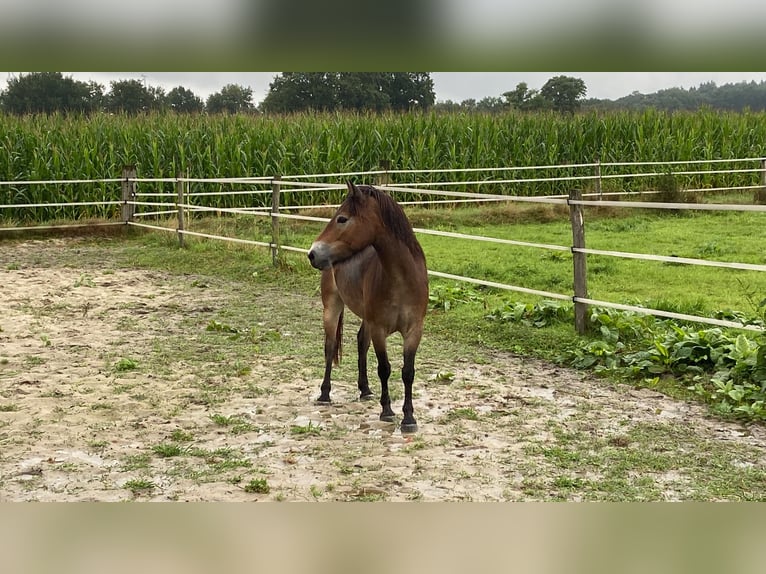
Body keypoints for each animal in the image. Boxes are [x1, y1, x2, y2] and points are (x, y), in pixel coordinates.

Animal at [308, 181, 428, 432]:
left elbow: (408, 372)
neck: (402, 279)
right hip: (332, 307)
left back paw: (364, 389)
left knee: (361, 342)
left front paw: (409, 418)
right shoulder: (379, 329)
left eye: (342, 218)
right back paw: (325, 394)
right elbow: (384, 368)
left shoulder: (414, 330)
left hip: (366, 318)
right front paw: (387, 411)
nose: (312, 253)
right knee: (330, 347)